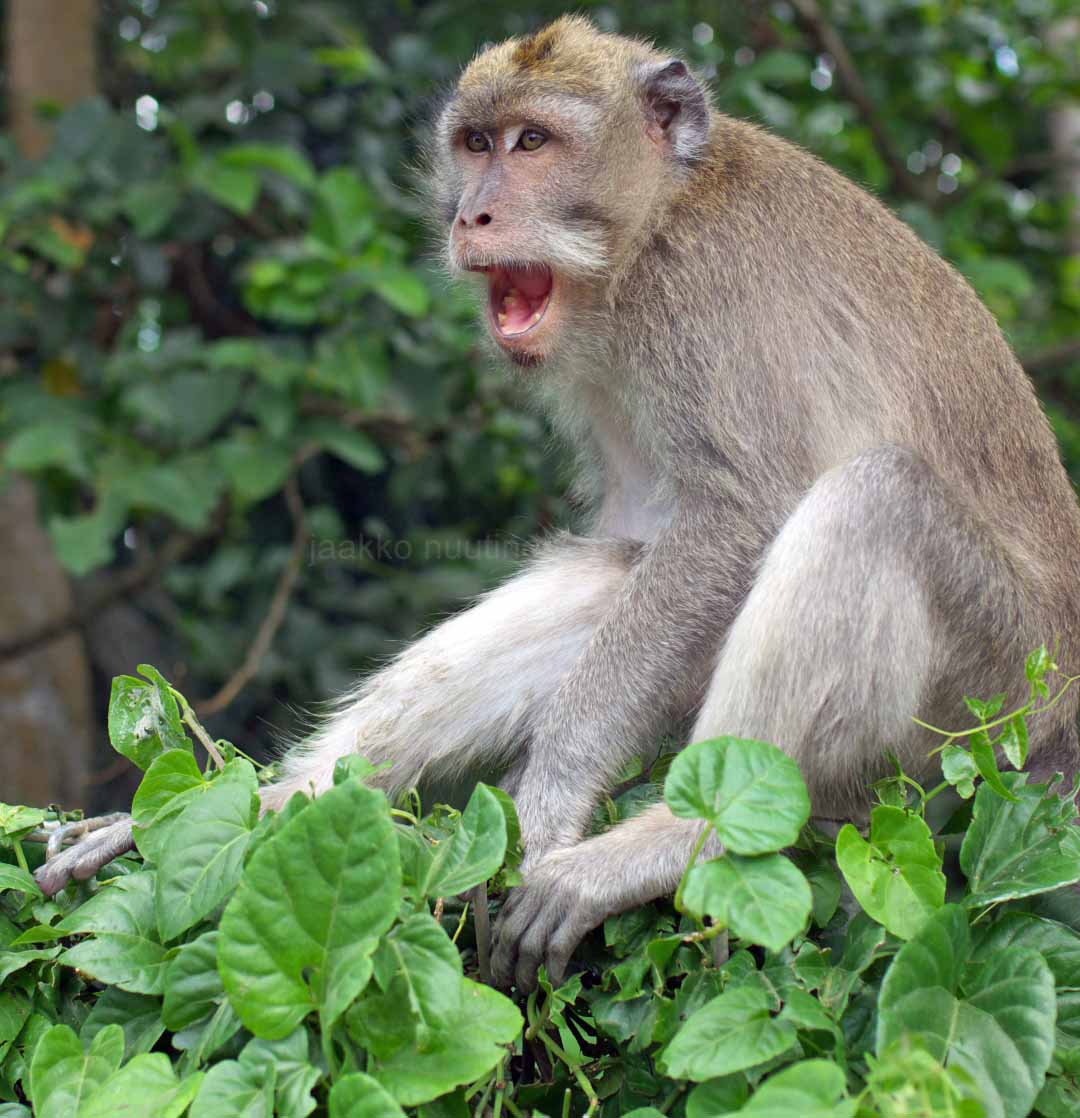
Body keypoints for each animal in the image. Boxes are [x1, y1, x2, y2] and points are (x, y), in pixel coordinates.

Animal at [37, 16, 1080, 995]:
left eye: (533, 142)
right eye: (475, 143)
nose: (474, 212)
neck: (655, 218)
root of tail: (1060, 717)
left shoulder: (694, 300)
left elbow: (742, 517)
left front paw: (548, 805)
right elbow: (645, 540)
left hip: (983, 708)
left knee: (875, 501)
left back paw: (675, 841)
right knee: (616, 576)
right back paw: (276, 808)